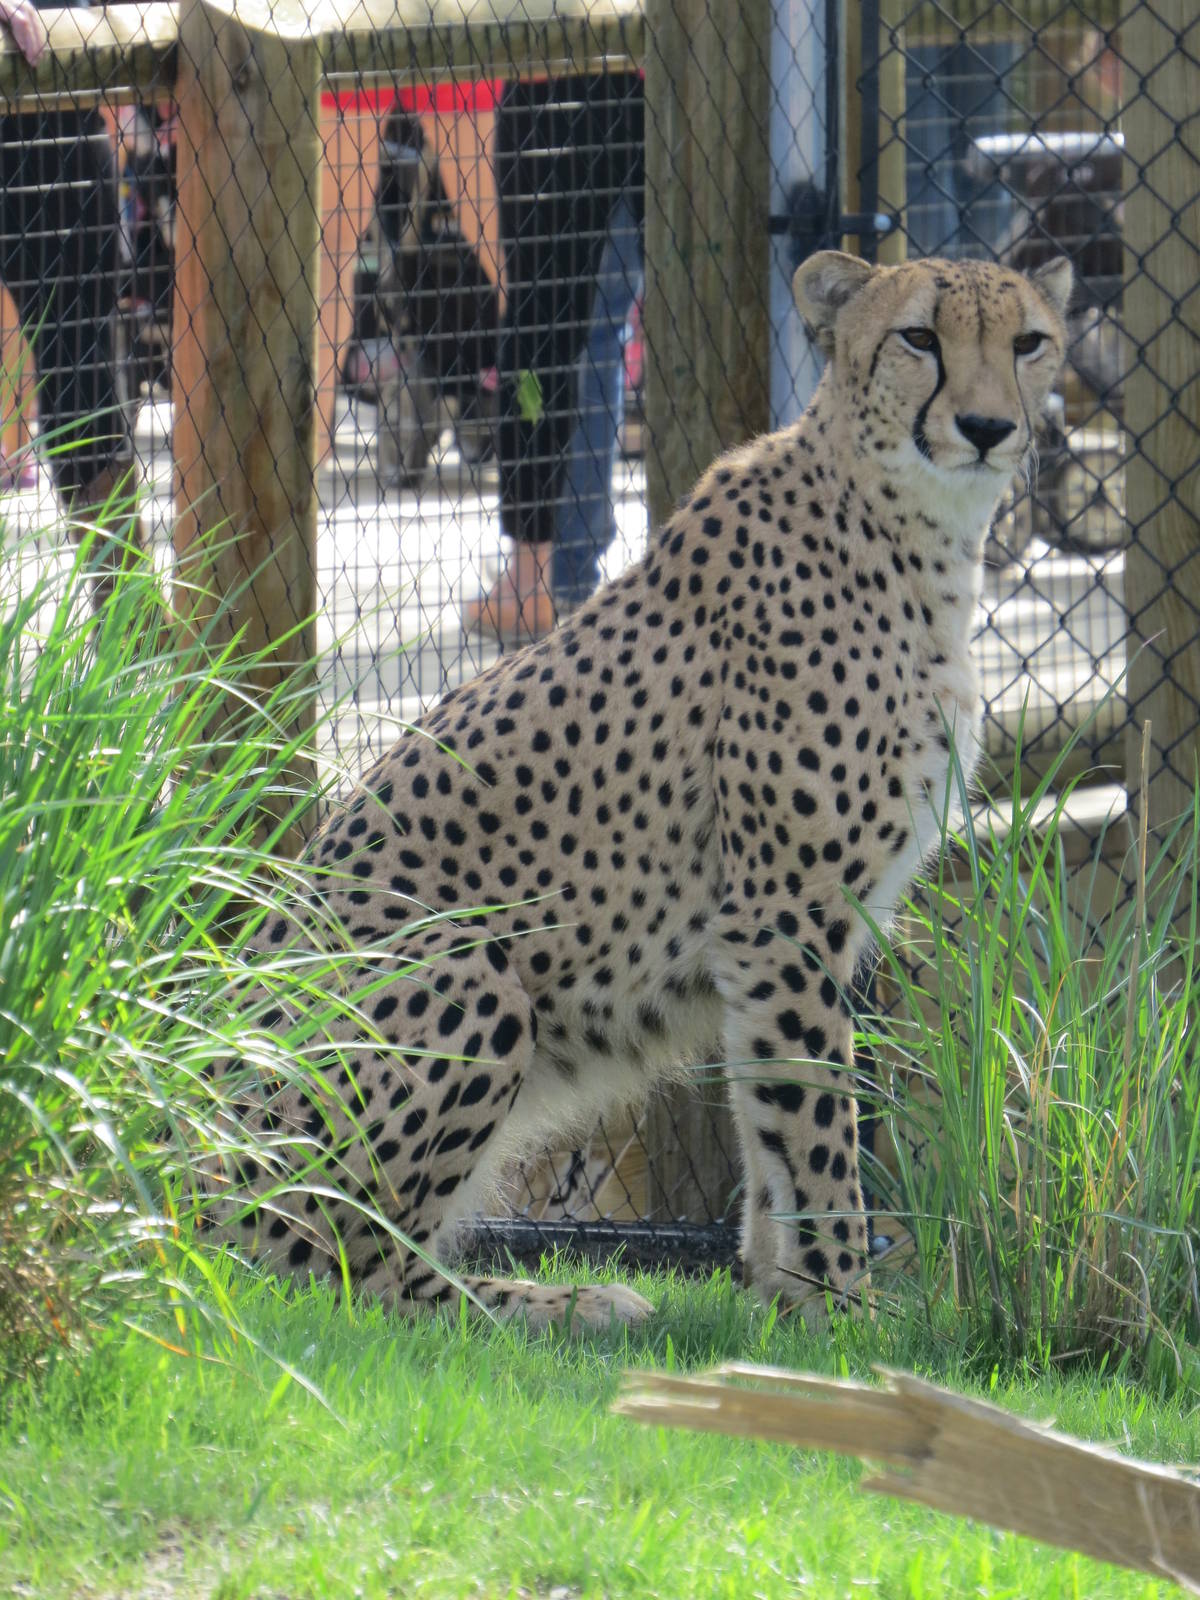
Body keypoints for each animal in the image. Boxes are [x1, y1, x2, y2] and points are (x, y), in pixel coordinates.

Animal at [221, 249, 1072, 1331]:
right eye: (918, 338)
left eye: (1028, 340)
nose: (989, 426)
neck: (910, 523)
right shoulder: (786, 913)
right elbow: (818, 1127)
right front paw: (849, 1307)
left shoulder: (770, 939)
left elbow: (771, 1125)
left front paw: (786, 1305)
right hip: (471, 974)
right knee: (334, 1275)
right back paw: (558, 1302)